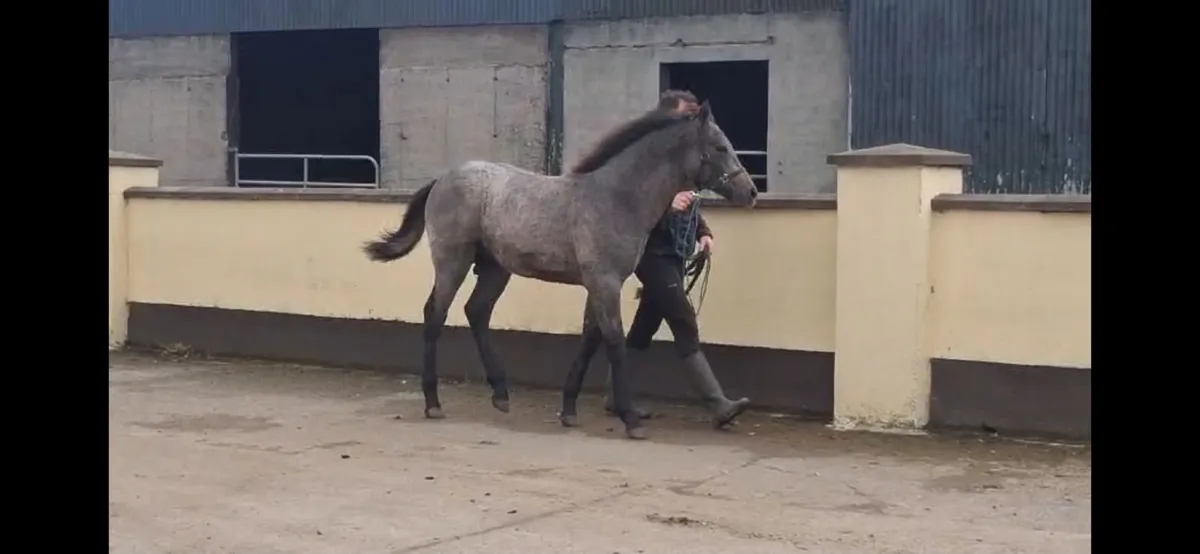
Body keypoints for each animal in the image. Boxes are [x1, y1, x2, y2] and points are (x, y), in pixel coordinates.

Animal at [362, 101, 758, 439]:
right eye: (720, 146)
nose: (751, 192)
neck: (616, 198)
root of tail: (442, 179)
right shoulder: (604, 281)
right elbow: (614, 342)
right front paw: (630, 419)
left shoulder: (598, 284)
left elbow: (590, 339)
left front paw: (569, 411)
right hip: (452, 261)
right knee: (435, 314)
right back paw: (433, 402)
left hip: (495, 268)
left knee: (476, 311)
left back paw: (501, 394)